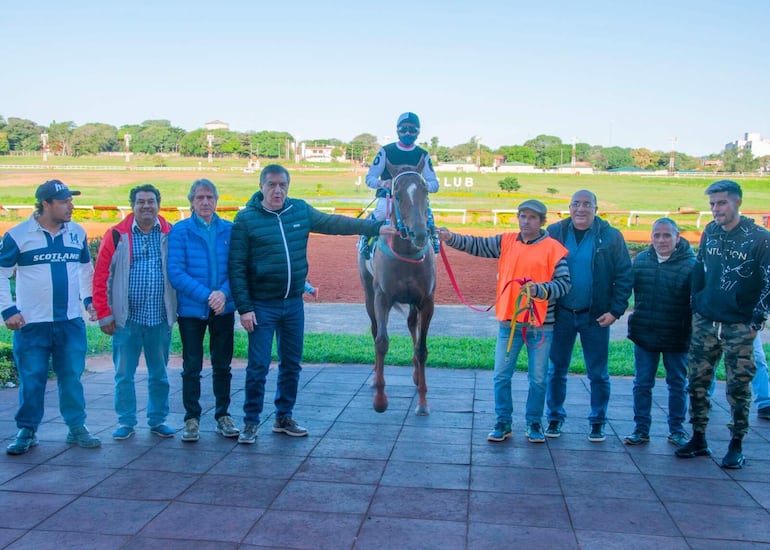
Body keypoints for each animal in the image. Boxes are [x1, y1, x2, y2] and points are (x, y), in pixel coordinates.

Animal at [356, 157, 436, 416]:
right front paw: (380, 400)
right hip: (368, 294)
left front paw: (423, 402)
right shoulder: (382, 297)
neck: (407, 254)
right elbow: (381, 342)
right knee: (374, 330)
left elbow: (421, 348)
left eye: (424, 192)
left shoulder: (426, 301)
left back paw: (416, 375)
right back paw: (374, 378)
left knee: (412, 325)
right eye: (397, 194)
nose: (419, 234)